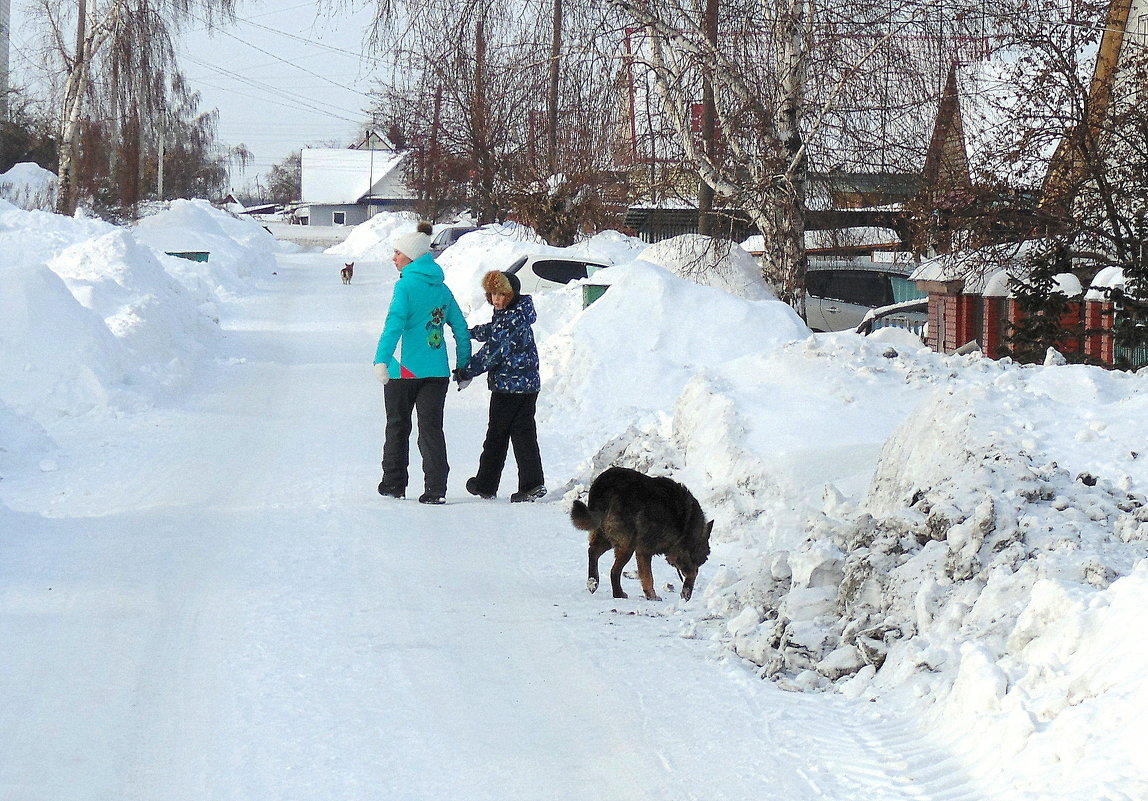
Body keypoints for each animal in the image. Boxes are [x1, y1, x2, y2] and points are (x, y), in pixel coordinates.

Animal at [569, 461, 711, 596]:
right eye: (705, 551)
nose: (705, 558)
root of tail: (605, 488)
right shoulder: (667, 552)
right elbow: (688, 574)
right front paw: (684, 593)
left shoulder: (643, 551)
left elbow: (646, 577)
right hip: (627, 545)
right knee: (614, 571)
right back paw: (618, 593)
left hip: (605, 536)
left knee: (592, 552)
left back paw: (593, 582)